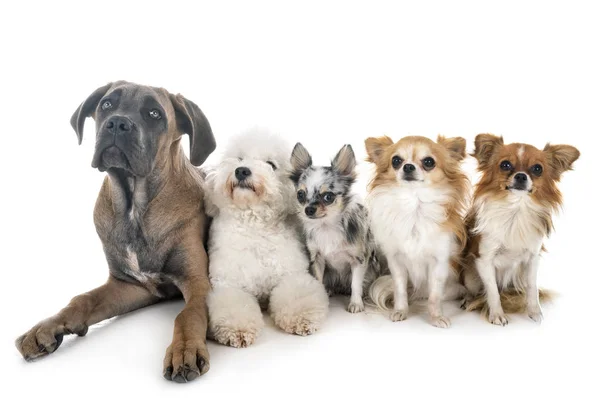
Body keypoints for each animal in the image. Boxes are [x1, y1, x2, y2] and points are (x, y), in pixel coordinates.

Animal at [14, 81, 218, 382]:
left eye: (155, 114)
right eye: (107, 104)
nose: (118, 123)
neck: (134, 206)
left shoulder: (197, 282)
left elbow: (187, 314)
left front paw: (185, 350)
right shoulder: (133, 285)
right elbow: (82, 299)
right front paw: (46, 327)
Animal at [290, 144, 380, 314]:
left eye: (328, 197)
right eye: (300, 195)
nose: (308, 209)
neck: (327, 226)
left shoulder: (359, 260)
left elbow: (356, 284)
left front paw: (356, 303)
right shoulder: (317, 259)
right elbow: (318, 280)